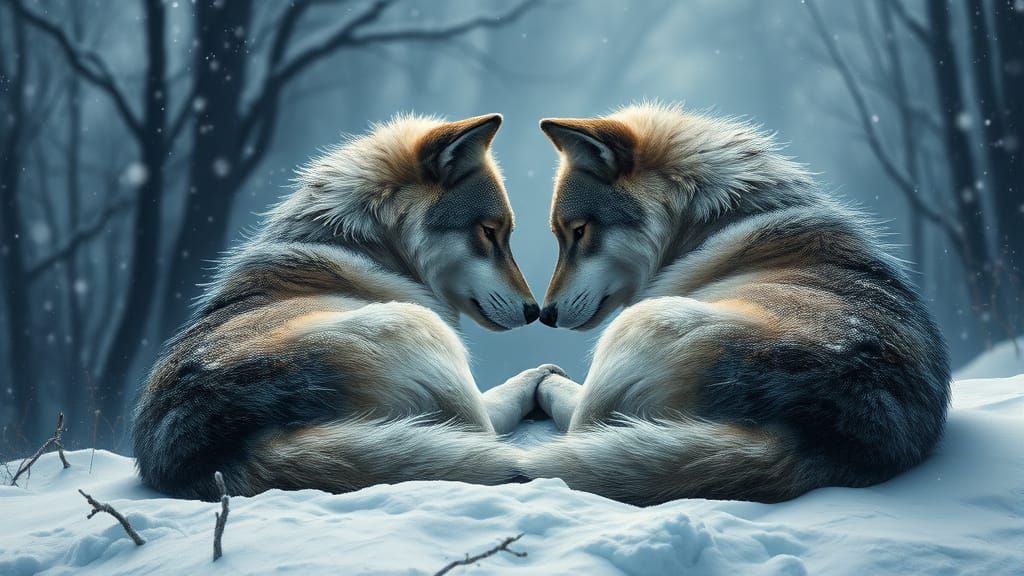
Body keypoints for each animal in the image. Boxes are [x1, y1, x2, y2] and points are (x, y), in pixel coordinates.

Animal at [132, 113, 560, 500]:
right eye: (489, 232)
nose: (533, 311)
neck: (363, 246)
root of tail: (220, 449)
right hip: (416, 322)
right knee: (485, 426)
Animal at [527, 102, 951, 504]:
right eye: (561, 235)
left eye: (579, 232)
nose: (545, 315)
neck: (715, 219)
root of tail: (818, 435)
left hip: (642, 319)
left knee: (579, 425)